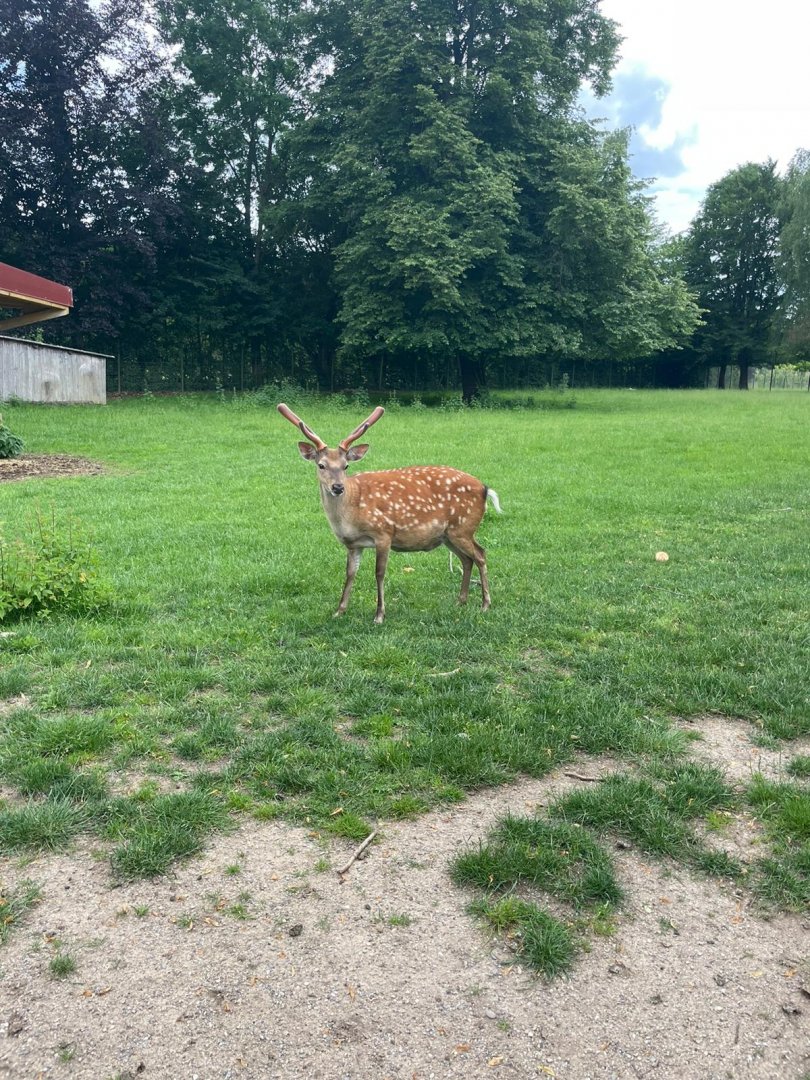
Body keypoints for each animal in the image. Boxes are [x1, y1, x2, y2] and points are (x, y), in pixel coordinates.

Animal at [278, 403, 501, 623]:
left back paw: (485, 604)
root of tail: (485, 489)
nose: (338, 487)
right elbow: (350, 574)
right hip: (448, 535)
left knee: (481, 555)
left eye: (345, 466)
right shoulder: (352, 544)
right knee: (467, 559)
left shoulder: (384, 533)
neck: (348, 517)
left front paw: (379, 615)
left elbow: (379, 573)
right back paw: (460, 601)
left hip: (463, 527)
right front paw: (339, 610)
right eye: (321, 465)